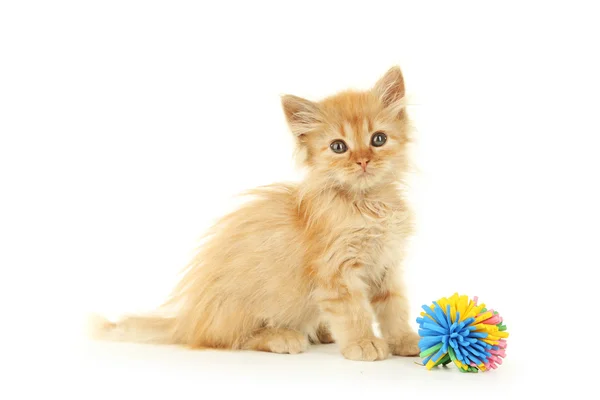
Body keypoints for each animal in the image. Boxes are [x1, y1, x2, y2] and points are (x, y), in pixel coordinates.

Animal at [91, 67, 420, 360]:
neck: (368, 204)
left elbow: (394, 308)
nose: (363, 161)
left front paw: (404, 340)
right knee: (228, 338)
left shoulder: (387, 267)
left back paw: (321, 332)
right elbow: (354, 312)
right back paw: (283, 337)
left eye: (378, 139)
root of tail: (187, 321)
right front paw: (363, 343)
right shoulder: (335, 272)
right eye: (338, 147)